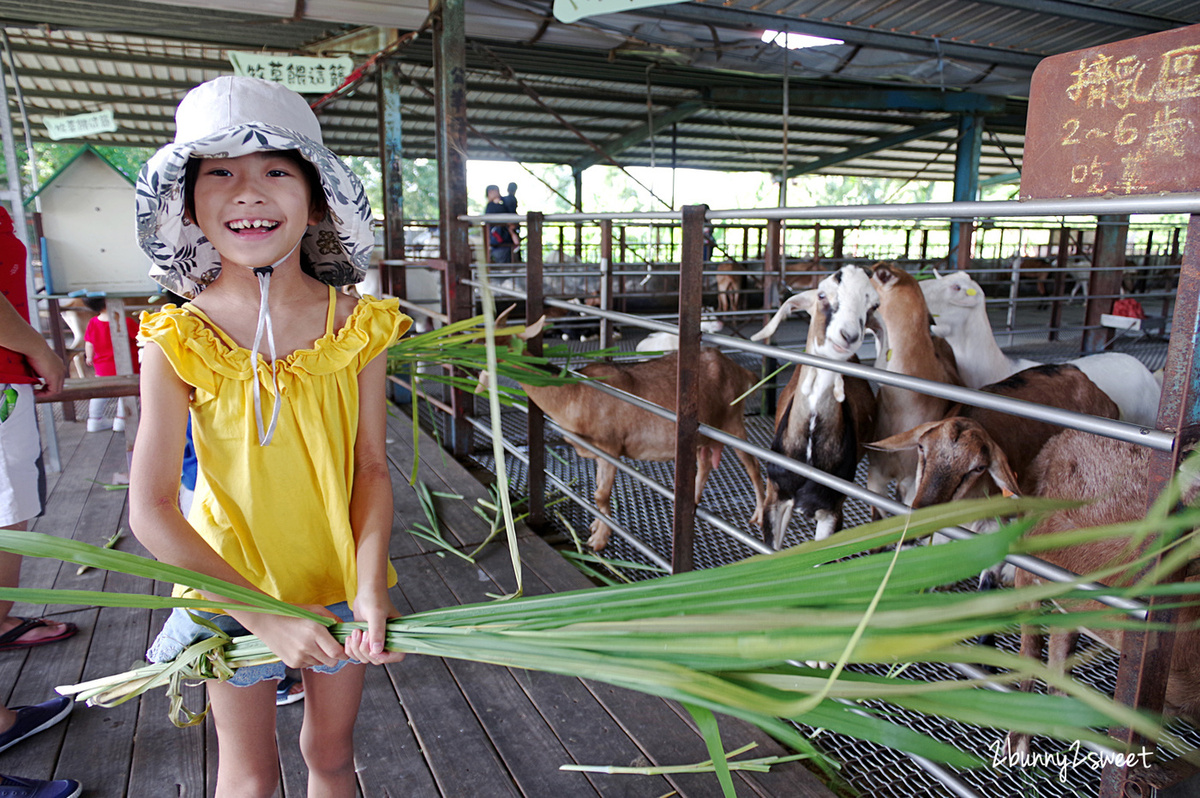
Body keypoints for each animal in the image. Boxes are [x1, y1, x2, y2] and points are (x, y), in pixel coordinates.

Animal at [520, 348, 763, 547]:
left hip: (733, 423)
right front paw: (596, 527)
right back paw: (691, 501)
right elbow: (598, 490)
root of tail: (741, 371)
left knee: (753, 466)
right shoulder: (598, 454)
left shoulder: (609, 448)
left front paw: (599, 540)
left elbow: (601, 495)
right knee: (704, 465)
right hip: (700, 434)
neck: (574, 394)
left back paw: (759, 515)